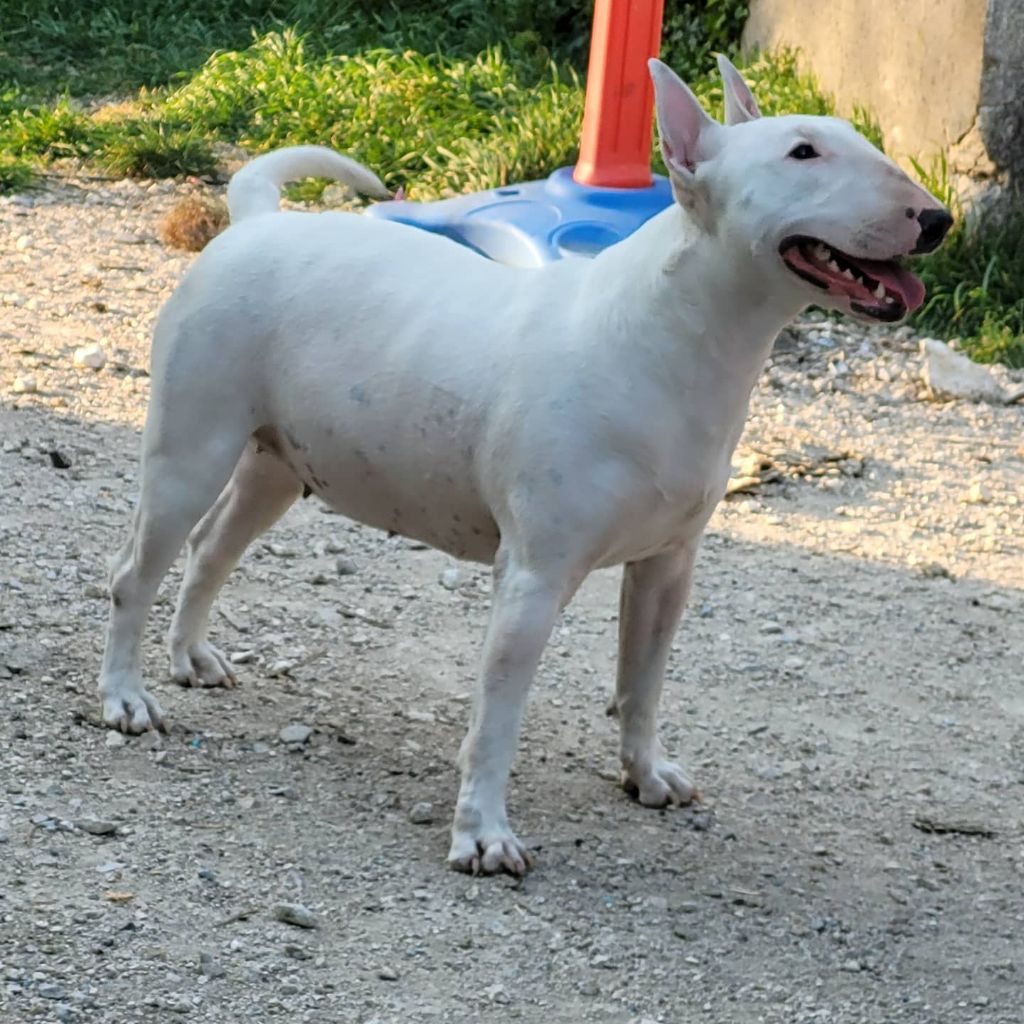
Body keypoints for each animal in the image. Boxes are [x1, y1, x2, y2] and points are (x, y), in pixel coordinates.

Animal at [96, 56, 950, 872]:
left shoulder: (667, 568)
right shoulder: (533, 579)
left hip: (275, 464)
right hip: (190, 451)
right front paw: (482, 837)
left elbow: (642, 684)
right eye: (802, 152)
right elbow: (497, 720)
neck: (674, 335)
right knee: (135, 573)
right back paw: (126, 699)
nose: (937, 219)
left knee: (213, 548)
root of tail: (253, 223)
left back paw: (191, 656)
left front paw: (646, 774)